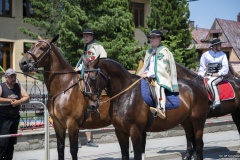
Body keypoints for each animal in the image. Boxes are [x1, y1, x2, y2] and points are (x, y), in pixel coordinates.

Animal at [82, 56, 210, 159]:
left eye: (93, 77)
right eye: (83, 78)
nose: (91, 105)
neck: (125, 94)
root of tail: (200, 87)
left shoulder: (136, 131)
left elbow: (138, 155)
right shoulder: (120, 132)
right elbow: (125, 155)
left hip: (198, 121)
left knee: (199, 144)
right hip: (187, 121)